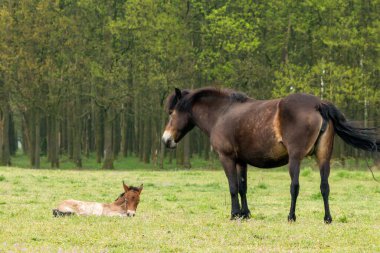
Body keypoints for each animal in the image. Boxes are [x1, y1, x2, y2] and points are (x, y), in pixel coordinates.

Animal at [162, 87, 378, 223]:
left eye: (172, 112)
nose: (166, 140)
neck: (222, 113)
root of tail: (319, 104)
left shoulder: (227, 158)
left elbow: (232, 187)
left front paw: (234, 214)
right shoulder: (241, 161)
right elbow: (242, 187)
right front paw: (245, 214)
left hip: (295, 158)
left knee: (295, 186)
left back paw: (291, 216)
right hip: (323, 157)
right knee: (324, 187)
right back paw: (327, 218)